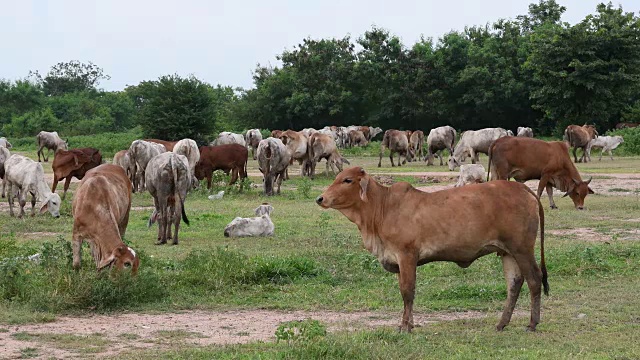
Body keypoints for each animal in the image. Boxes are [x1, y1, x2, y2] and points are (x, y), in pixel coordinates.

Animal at [318, 167, 548, 334]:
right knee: (514, 284)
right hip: (507, 252)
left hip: (522, 248)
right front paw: (408, 324)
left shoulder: (407, 255)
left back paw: (532, 324)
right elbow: (405, 291)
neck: (382, 208)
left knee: (534, 279)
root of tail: (522, 188)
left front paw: (405, 327)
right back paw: (501, 324)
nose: (320, 198)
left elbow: (407, 291)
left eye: (347, 180)